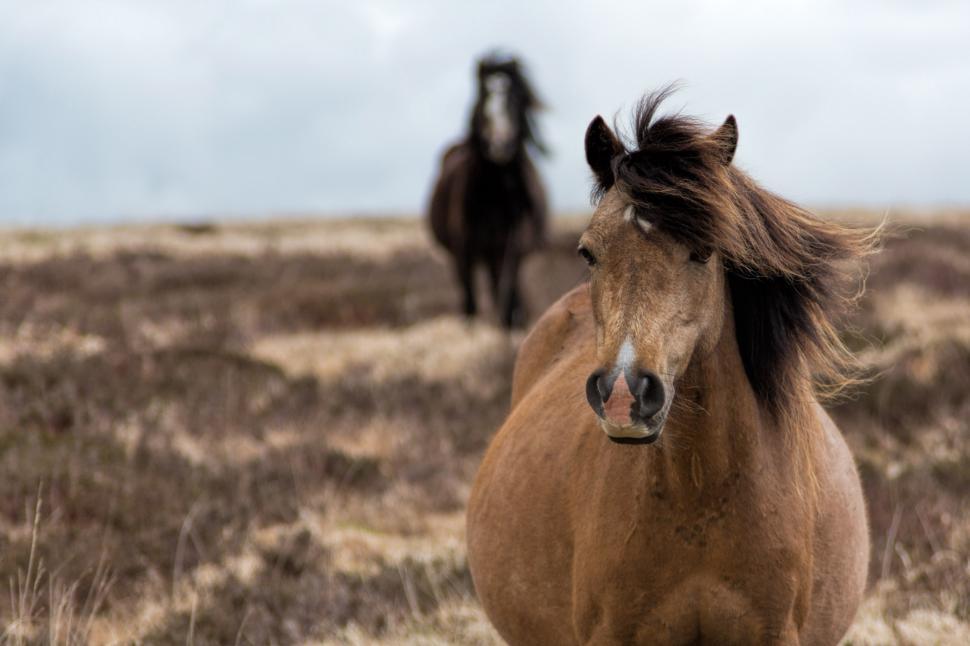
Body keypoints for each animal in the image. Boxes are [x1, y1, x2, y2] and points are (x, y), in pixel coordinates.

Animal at [428, 54, 548, 328]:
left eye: (515, 102)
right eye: (483, 100)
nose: (500, 145)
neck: (494, 197)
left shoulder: (511, 249)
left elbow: (507, 301)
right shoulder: (463, 252)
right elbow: (470, 302)